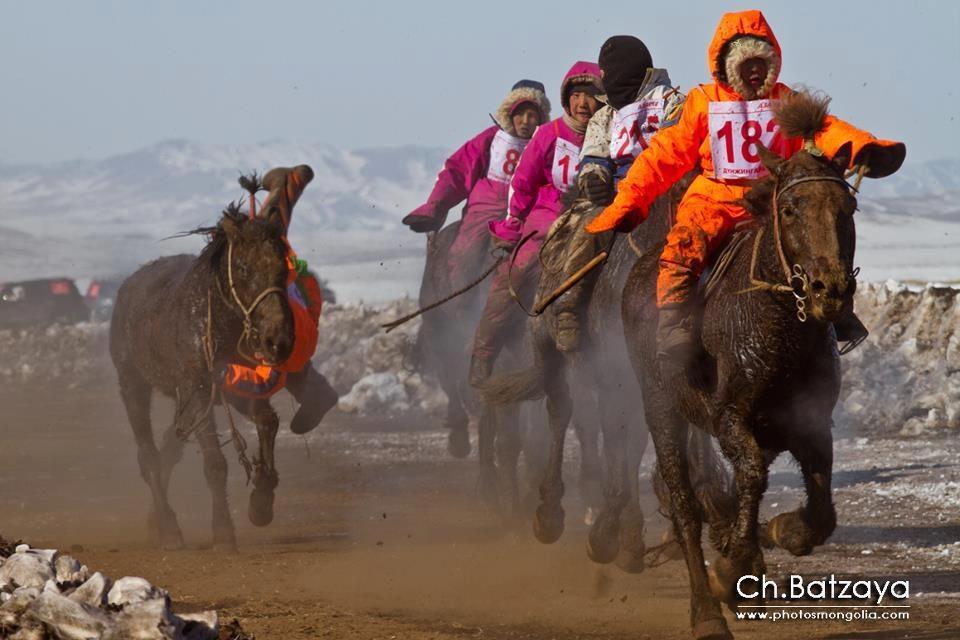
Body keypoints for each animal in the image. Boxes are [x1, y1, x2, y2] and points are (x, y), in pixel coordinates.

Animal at [109, 205, 292, 552]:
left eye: (283, 267)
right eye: (243, 268)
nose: (278, 341)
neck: (219, 322)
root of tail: (128, 286)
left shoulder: (238, 388)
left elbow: (268, 421)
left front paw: (261, 503)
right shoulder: (198, 392)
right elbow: (215, 463)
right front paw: (223, 534)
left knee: (169, 448)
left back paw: (155, 523)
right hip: (132, 384)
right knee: (149, 456)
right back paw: (169, 530)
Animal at [624, 92, 892, 636]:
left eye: (849, 207)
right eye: (789, 209)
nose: (829, 291)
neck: (779, 329)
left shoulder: (810, 421)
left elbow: (820, 508)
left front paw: (780, 532)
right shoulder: (731, 416)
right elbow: (748, 475)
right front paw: (732, 568)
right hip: (661, 408)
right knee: (684, 507)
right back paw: (707, 612)